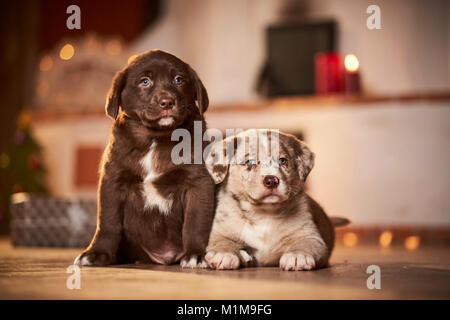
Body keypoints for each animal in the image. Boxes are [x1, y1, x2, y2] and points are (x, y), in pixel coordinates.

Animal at [74, 49, 215, 268]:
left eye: (178, 79)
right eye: (145, 81)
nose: (167, 102)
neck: (155, 139)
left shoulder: (198, 182)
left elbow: (195, 222)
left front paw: (195, 254)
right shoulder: (112, 182)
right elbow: (107, 222)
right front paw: (97, 253)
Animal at [204, 129, 348, 270]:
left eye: (282, 160)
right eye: (250, 162)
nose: (272, 181)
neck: (264, 213)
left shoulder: (310, 235)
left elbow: (306, 244)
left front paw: (298, 256)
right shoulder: (219, 230)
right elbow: (221, 240)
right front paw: (224, 253)